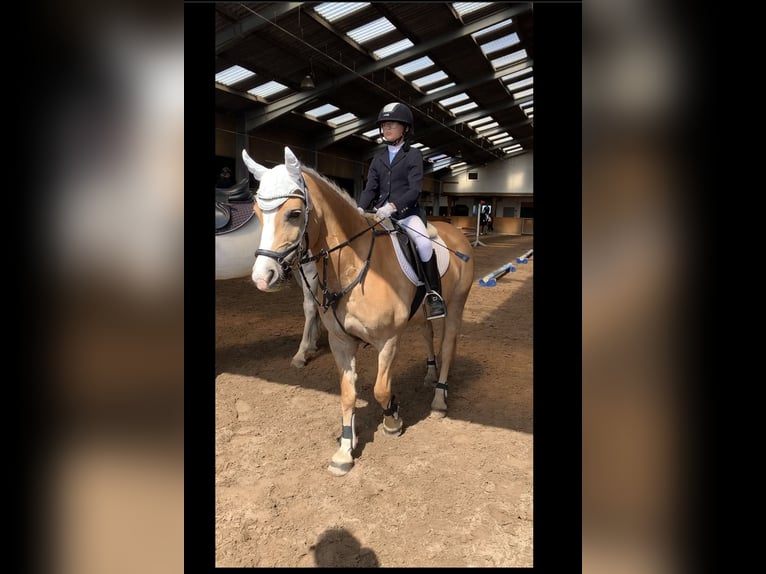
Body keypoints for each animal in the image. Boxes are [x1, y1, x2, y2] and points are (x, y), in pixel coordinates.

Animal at [244, 147, 474, 476]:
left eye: (294, 214)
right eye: (257, 212)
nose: (263, 277)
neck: (353, 265)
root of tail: (455, 232)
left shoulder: (388, 341)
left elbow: (380, 389)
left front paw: (392, 420)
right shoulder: (341, 342)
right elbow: (347, 394)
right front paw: (344, 450)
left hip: (455, 307)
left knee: (448, 345)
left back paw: (440, 398)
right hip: (421, 315)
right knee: (428, 335)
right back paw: (430, 375)